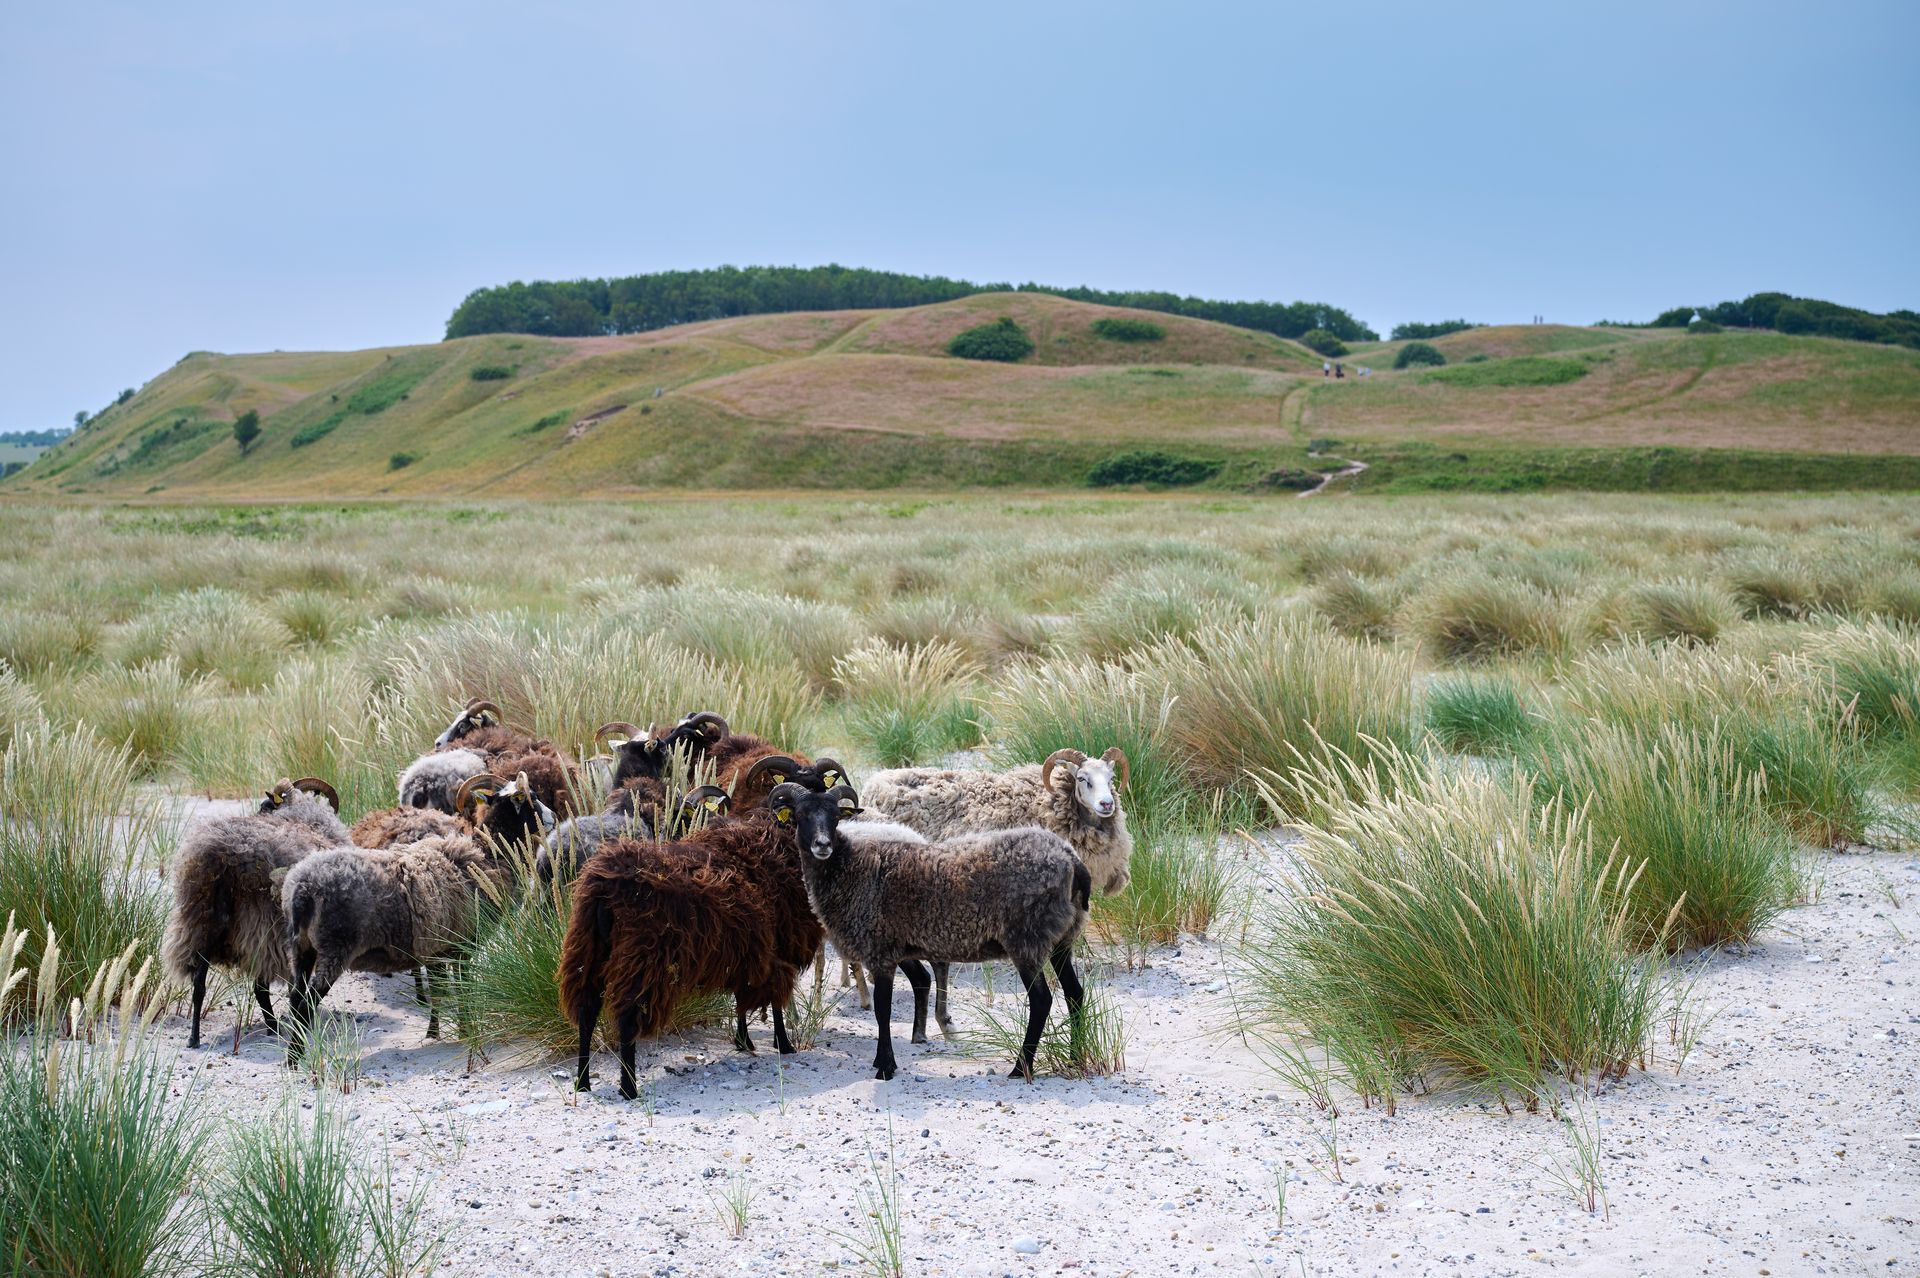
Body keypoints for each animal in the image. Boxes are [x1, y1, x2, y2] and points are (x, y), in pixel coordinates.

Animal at [161, 777, 350, 1048]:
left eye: (264, 807)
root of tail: (222, 856)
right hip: (261, 926)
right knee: (263, 988)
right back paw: (276, 1027)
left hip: (204, 922)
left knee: (199, 985)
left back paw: (194, 1038)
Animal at [558, 785, 825, 1098]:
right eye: (803, 814)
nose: (824, 845)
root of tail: (604, 887)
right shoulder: (776, 950)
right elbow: (775, 1003)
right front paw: (784, 1045)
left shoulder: (747, 950)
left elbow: (742, 999)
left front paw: (743, 1041)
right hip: (641, 959)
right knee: (626, 1020)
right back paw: (628, 1088)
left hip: (587, 949)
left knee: (586, 1012)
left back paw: (583, 1082)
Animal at [767, 782, 1090, 1082]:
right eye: (801, 815)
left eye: (836, 817)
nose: (822, 845)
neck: (851, 867)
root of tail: (1072, 860)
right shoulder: (896, 948)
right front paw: (883, 1061)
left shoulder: (881, 952)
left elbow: (882, 1009)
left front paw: (885, 1067)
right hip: (1062, 938)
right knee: (1074, 993)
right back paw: (1075, 1057)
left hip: (1027, 940)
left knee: (1041, 1000)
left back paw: (1019, 1068)